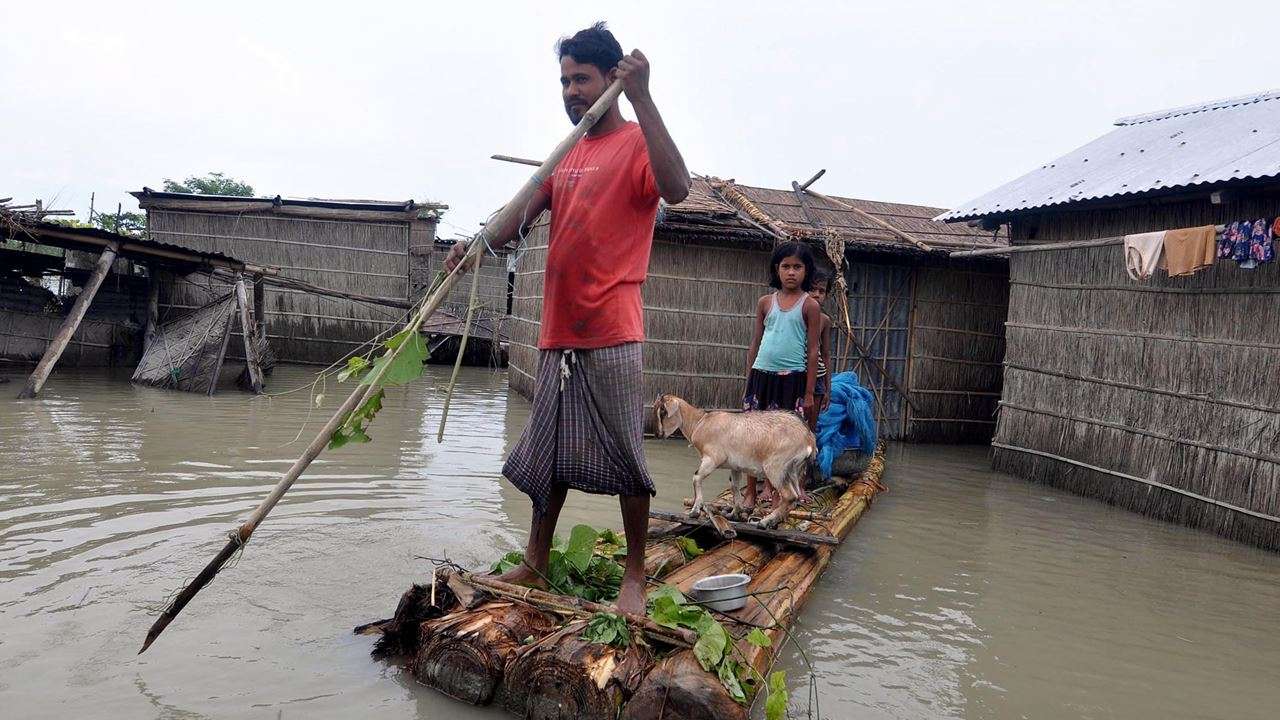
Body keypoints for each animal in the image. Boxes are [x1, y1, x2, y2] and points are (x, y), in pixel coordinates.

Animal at [655, 392, 814, 527]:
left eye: (663, 412)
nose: (658, 434)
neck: (699, 422)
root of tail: (808, 439)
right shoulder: (735, 466)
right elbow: (735, 486)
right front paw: (734, 514)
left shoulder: (712, 458)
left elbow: (696, 478)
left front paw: (694, 511)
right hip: (793, 470)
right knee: (795, 497)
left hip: (776, 468)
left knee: (789, 496)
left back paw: (764, 522)